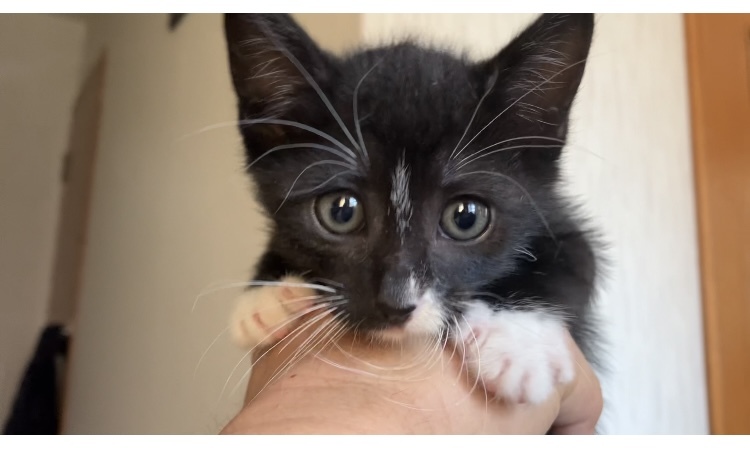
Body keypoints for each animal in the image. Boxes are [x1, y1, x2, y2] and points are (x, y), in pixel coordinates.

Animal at [223, 13, 601, 406]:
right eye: (341, 212)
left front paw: (518, 343)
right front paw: (265, 297)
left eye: (466, 218)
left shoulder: (556, 217)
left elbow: (577, 261)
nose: (396, 304)